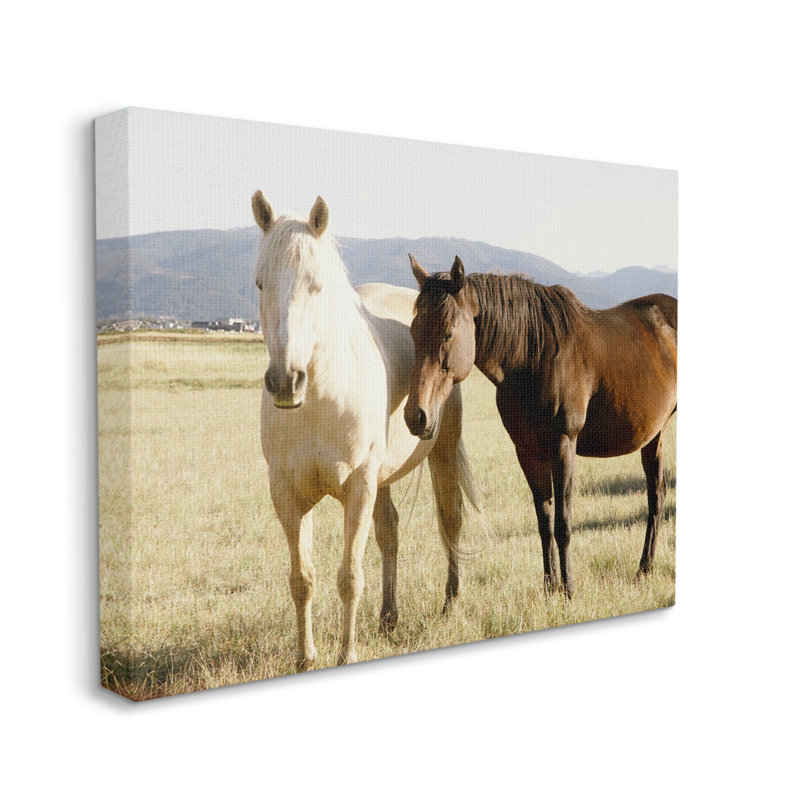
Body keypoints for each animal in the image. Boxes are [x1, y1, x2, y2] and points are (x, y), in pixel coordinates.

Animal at [251, 193, 477, 669]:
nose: (285, 382)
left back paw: (450, 604)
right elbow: (302, 579)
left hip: (440, 452)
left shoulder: (358, 487)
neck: (321, 400)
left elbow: (349, 577)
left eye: (316, 285)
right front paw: (305, 658)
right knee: (390, 532)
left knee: (450, 520)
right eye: (261, 284)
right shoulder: (287, 493)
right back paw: (389, 618)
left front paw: (347, 654)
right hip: (382, 477)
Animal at [404, 254, 676, 597]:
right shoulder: (527, 451)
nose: (417, 416)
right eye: (413, 331)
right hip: (654, 435)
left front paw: (569, 590)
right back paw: (645, 570)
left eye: (449, 332)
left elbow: (563, 523)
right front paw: (550, 588)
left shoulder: (563, 445)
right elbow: (544, 523)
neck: (532, 357)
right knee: (657, 495)